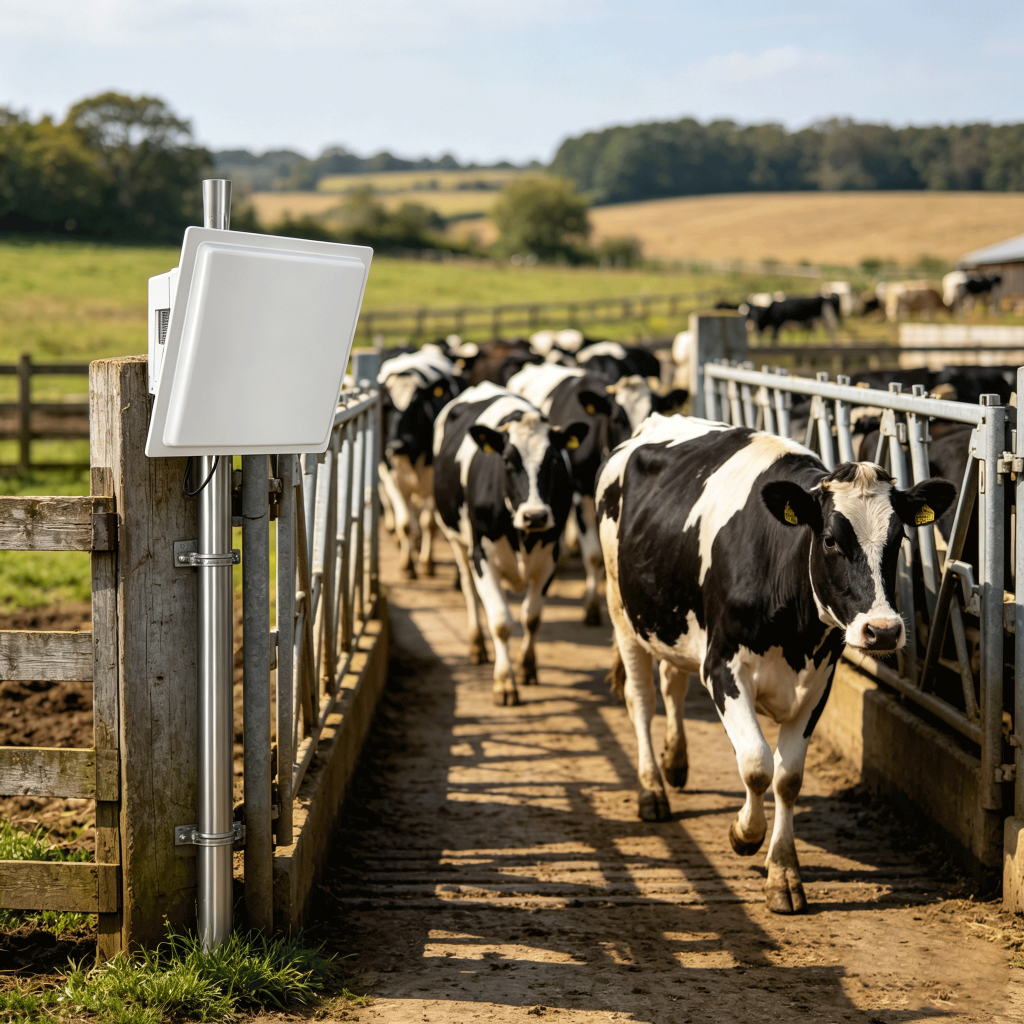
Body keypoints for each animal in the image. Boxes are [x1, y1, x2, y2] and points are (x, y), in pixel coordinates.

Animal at [378, 348, 462, 578]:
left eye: (416, 405)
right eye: (387, 406)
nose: (397, 445)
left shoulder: (433, 483)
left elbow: (428, 523)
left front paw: (427, 563)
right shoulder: (392, 480)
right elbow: (405, 524)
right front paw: (408, 565)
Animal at [433, 382, 588, 705]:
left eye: (554, 459)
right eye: (506, 460)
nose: (536, 516)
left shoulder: (550, 557)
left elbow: (532, 617)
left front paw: (527, 667)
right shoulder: (481, 556)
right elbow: (501, 621)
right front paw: (504, 682)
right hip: (456, 540)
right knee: (469, 590)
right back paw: (477, 645)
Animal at [596, 415, 954, 913]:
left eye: (899, 538)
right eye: (830, 540)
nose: (882, 630)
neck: (795, 632)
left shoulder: (818, 682)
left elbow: (787, 778)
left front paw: (783, 873)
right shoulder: (722, 669)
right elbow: (756, 763)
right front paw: (744, 835)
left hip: (672, 620)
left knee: (671, 683)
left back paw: (676, 763)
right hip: (622, 610)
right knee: (641, 700)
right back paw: (652, 791)